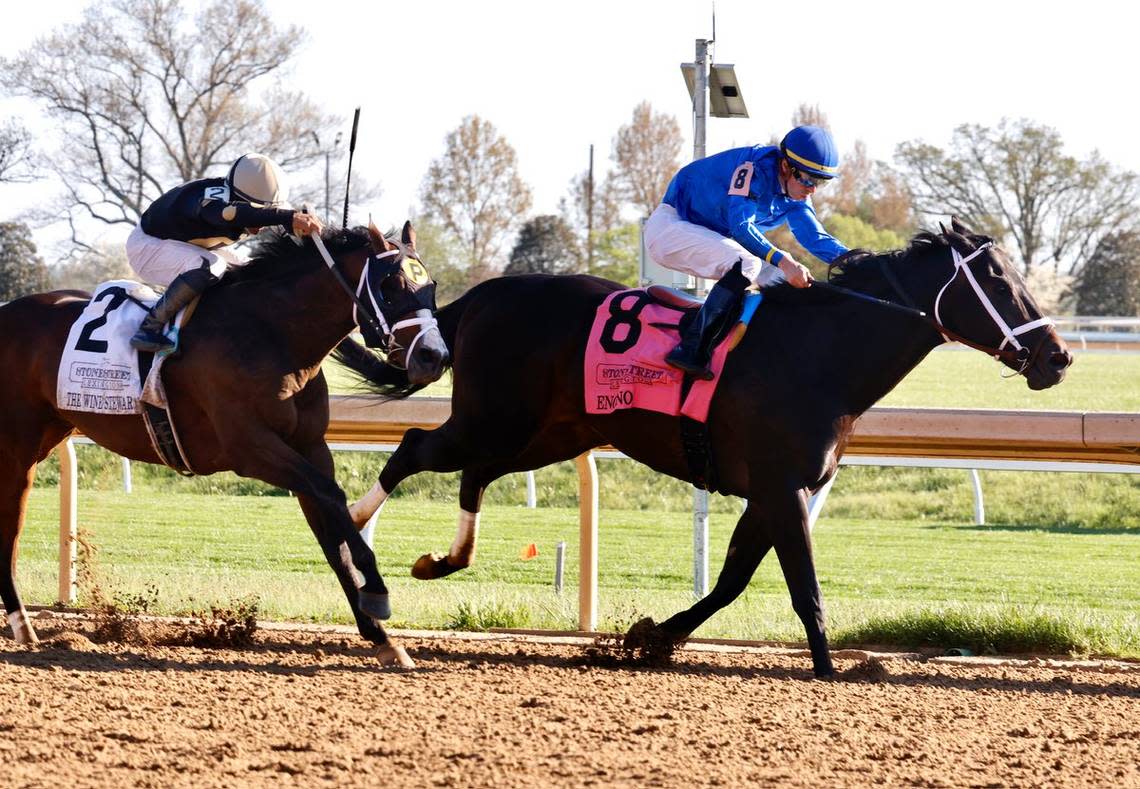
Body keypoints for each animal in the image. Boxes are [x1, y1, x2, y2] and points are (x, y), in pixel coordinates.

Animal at [0, 222, 444, 665]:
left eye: (431, 286)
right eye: (391, 286)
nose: (434, 357)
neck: (273, 335)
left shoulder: (311, 449)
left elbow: (332, 536)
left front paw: (382, 637)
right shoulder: (250, 448)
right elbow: (332, 497)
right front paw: (378, 590)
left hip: (45, 436)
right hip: (16, 449)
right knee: (10, 533)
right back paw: (22, 624)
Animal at [335, 220, 1067, 679]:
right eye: (997, 281)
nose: (1057, 357)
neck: (821, 355)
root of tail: (482, 295)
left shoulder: (771, 492)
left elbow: (731, 580)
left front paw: (652, 635)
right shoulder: (781, 487)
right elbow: (802, 586)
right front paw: (830, 669)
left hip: (548, 432)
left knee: (473, 473)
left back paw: (441, 559)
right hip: (495, 418)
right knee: (413, 448)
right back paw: (357, 536)